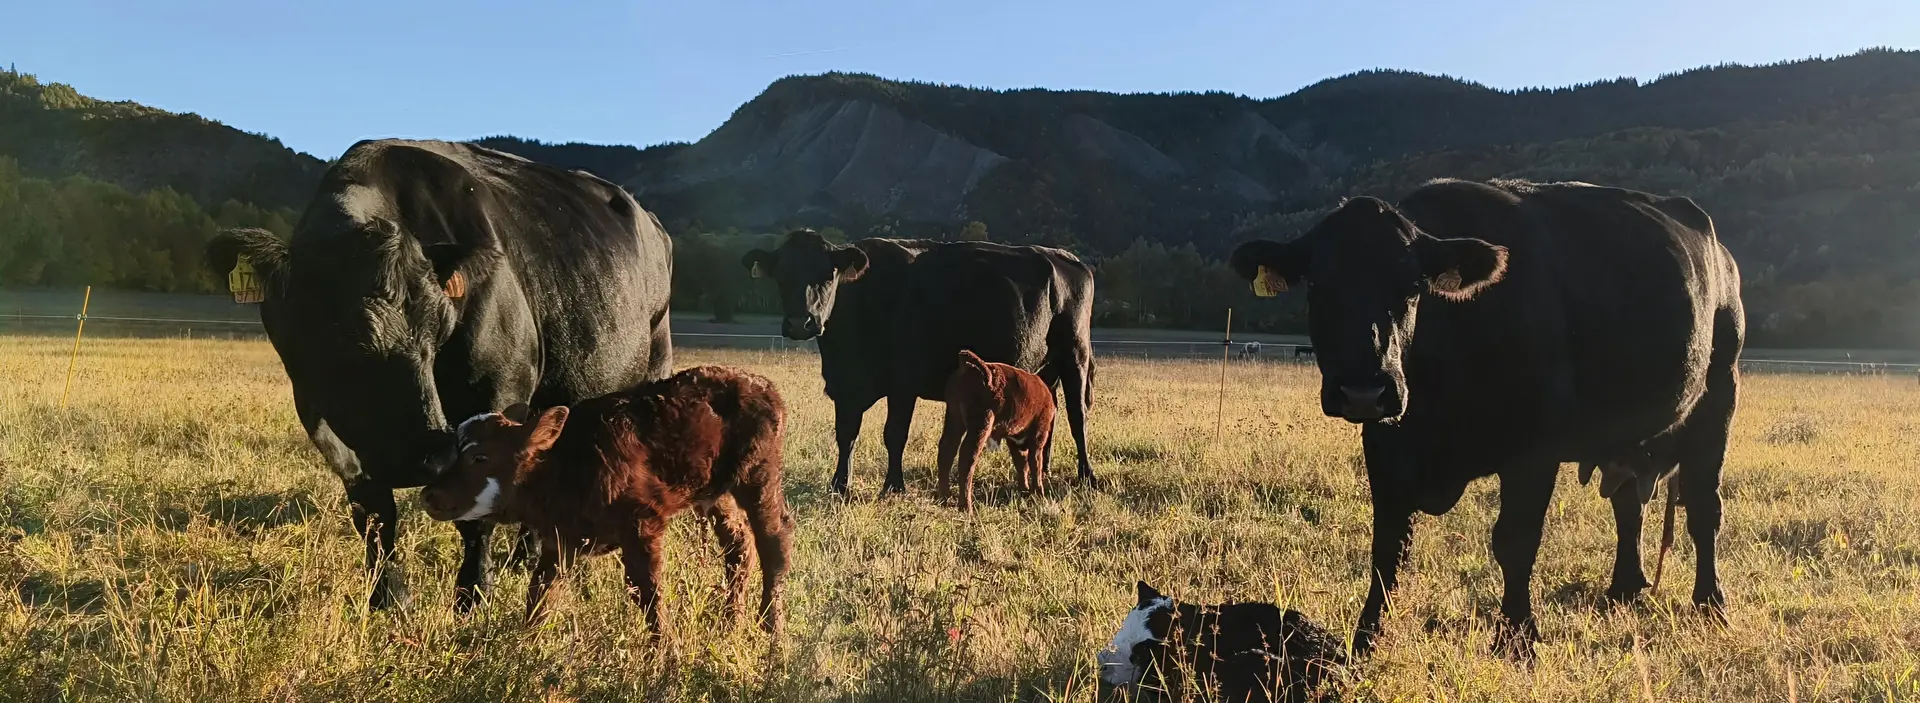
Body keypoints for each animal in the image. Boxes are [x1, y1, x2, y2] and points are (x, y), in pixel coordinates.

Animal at [203, 138, 675, 612]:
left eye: (440, 328)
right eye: (334, 334)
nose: (424, 456)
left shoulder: (498, 390)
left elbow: (476, 510)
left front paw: (472, 596)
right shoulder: (317, 411)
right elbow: (372, 510)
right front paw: (387, 597)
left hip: (653, 361)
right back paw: (525, 557)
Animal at [418, 366, 794, 634]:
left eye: (479, 457)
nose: (429, 495)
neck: (565, 467)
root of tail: (765, 386)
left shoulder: (642, 522)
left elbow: (648, 593)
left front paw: (664, 658)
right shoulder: (561, 540)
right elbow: (540, 592)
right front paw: (525, 643)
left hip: (760, 473)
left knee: (774, 539)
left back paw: (769, 627)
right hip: (714, 492)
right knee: (738, 544)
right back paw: (731, 620)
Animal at [936, 350, 1057, 511]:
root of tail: (969, 368)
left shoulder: (1014, 440)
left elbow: (1021, 464)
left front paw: (1024, 490)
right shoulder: (1039, 436)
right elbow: (1035, 464)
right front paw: (1039, 494)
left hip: (954, 418)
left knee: (947, 450)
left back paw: (945, 497)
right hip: (982, 422)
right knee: (967, 457)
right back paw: (966, 506)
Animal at [1229, 178, 1743, 657]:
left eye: (1412, 287)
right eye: (1317, 285)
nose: (1363, 389)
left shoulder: (1534, 451)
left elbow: (1514, 542)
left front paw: (1517, 638)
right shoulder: (1386, 444)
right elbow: (1388, 545)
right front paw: (1366, 640)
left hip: (1720, 393)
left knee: (1704, 509)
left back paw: (1710, 603)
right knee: (1628, 505)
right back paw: (1624, 587)